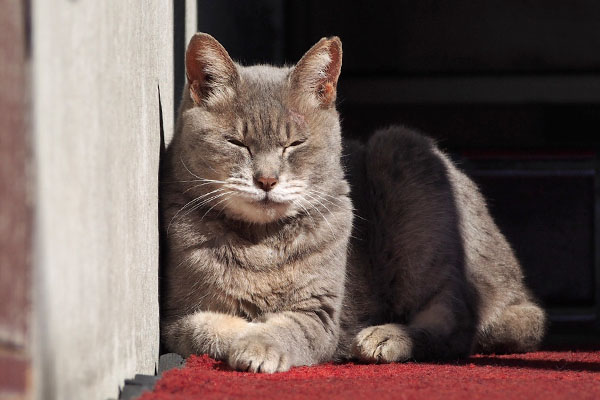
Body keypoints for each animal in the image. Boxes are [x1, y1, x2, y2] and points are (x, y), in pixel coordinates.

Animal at [161, 32, 548, 374]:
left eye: (294, 144)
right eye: (237, 142)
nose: (267, 180)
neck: (262, 244)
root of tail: (518, 290)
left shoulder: (320, 314)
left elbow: (285, 328)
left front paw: (259, 344)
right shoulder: (176, 316)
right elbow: (204, 327)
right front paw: (247, 331)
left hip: (402, 155)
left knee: (456, 322)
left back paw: (385, 338)